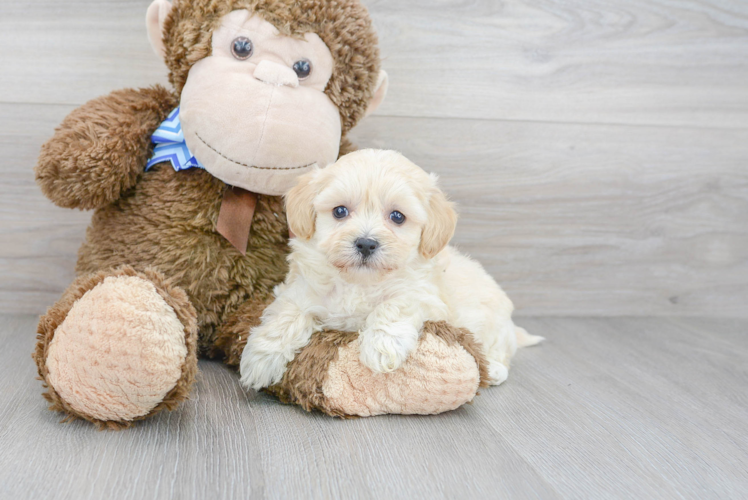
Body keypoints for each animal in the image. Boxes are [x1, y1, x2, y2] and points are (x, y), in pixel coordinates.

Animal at [243, 148, 540, 390]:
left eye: (397, 217)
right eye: (339, 211)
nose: (365, 243)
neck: (359, 282)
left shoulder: (424, 295)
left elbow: (394, 305)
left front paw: (381, 347)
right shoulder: (300, 290)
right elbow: (287, 315)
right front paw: (261, 358)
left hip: (492, 324)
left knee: (500, 353)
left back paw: (495, 369)